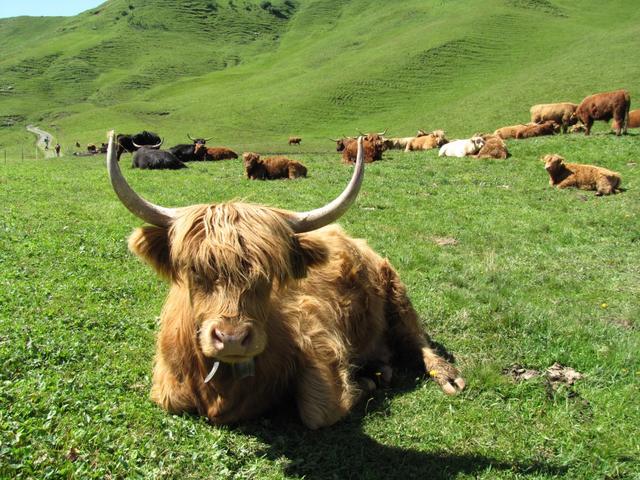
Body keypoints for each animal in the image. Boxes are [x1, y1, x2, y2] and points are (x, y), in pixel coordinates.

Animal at [105, 133, 464, 430]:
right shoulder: (167, 387)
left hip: (397, 296)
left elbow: (317, 411)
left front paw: (366, 381)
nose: (232, 338)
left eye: (269, 275)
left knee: (418, 342)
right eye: (194, 270)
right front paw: (374, 375)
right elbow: (171, 400)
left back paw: (445, 377)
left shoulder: (319, 342)